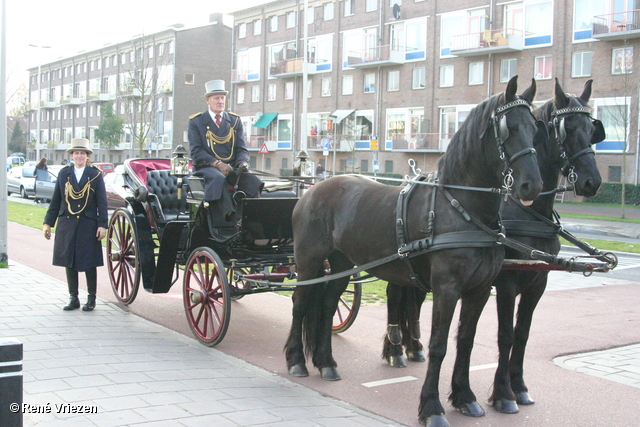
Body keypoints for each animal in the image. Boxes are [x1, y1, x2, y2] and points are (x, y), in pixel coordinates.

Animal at [288, 77, 544, 427]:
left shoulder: (479, 290)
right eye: (508, 128)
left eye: (535, 128)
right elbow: (438, 346)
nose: (532, 185)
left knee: (327, 306)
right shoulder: (447, 288)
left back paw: (327, 363)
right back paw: (296, 361)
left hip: (342, 264)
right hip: (309, 261)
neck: (461, 208)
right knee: (300, 303)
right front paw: (432, 407)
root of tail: (313, 188)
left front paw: (465, 397)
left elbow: (465, 342)